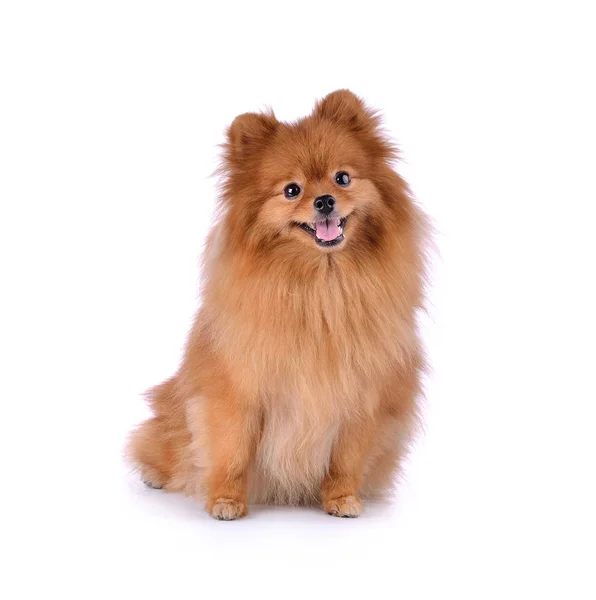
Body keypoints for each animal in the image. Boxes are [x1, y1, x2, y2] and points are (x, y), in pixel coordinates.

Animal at [129, 90, 428, 520]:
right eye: (291, 190)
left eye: (342, 178)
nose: (325, 200)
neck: (322, 287)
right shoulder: (237, 391)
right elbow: (232, 450)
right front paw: (226, 500)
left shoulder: (362, 395)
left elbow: (347, 458)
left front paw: (342, 498)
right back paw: (155, 474)